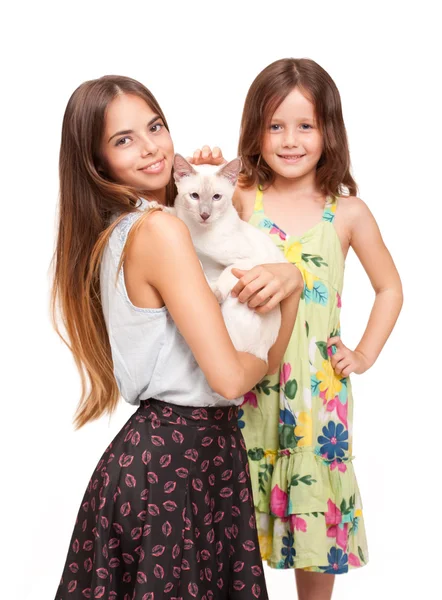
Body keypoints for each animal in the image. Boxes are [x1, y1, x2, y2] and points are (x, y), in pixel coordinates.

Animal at [169, 155, 286, 360]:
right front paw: (158, 207)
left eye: (216, 197)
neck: (197, 233)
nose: (205, 215)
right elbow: (175, 213)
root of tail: (262, 355)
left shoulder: (247, 260)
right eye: (194, 196)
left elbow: (227, 272)